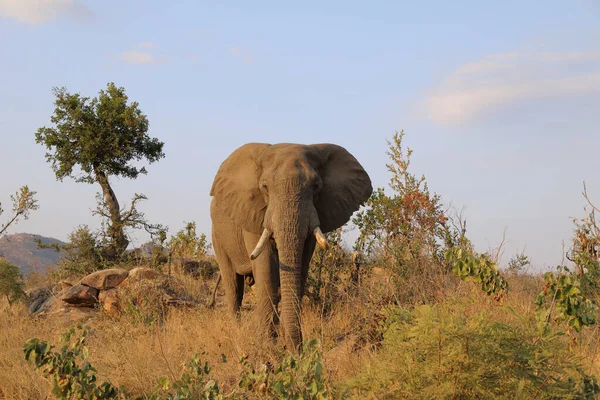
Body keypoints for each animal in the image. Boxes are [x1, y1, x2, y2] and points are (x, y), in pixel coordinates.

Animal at [210, 143, 370, 350]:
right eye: (264, 187)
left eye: (316, 186)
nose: (297, 350)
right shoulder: (255, 214)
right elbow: (266, 269)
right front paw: (268, 345)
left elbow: (300, 269)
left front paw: (285, 344)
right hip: (218, 237)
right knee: (233, 286)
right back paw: (237, 332)